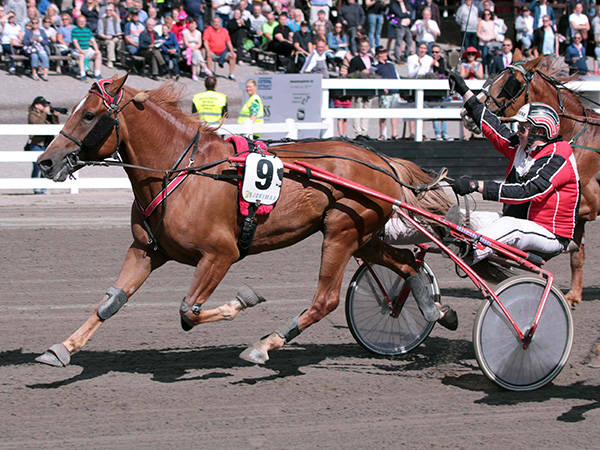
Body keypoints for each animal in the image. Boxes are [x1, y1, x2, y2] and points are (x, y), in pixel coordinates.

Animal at [34, 73, 452, 367]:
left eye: (89, 115)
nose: (45, 162)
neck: (182, 171)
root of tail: (382, 160)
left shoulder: (221, 254)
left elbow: (188, 311)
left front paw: (242, 301)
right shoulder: (146, 250)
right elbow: (111, 302)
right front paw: (63, 347)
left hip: (341, 232)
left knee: (326, 300)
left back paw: (265, 345)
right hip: (362, 236)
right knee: (407, 263)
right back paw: (435, 310)